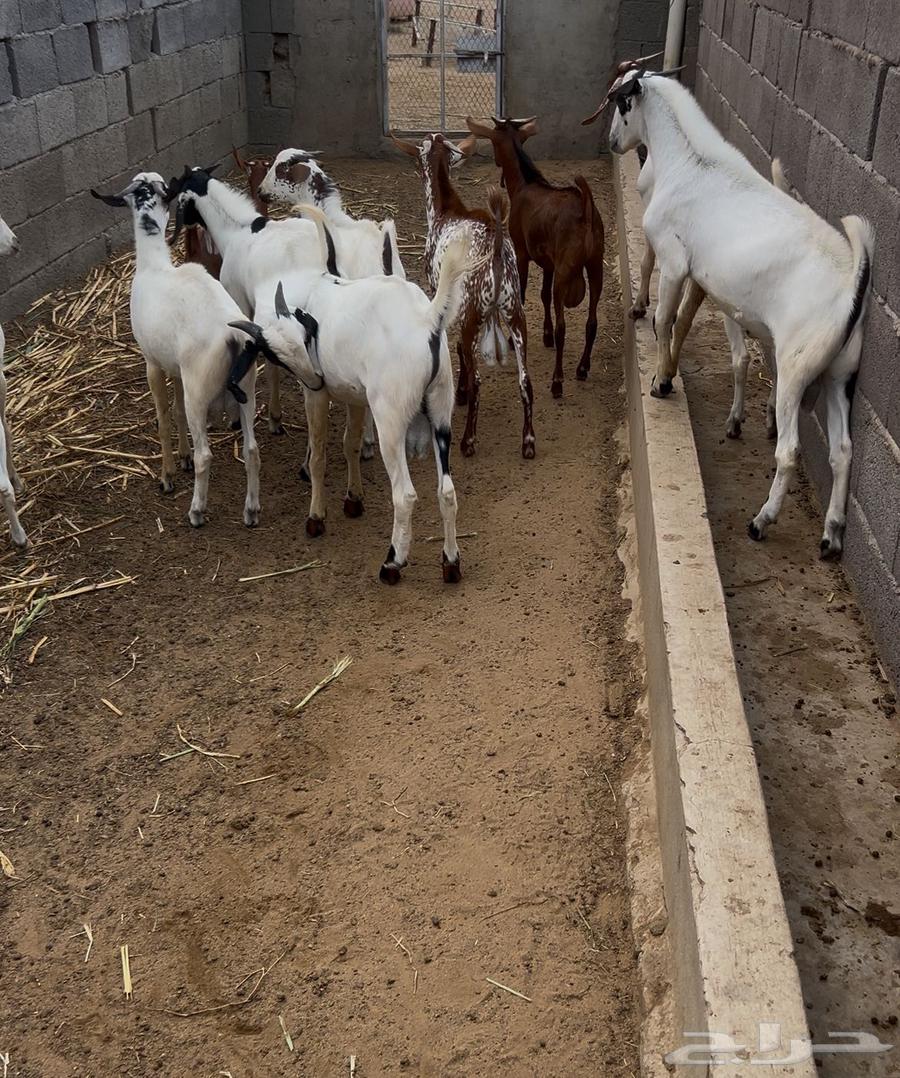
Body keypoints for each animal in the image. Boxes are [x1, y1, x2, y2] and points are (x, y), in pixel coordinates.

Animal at [91, 173, 261, 528]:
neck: (154, 266)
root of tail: (232, 336)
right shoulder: (176, 370)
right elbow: (177, 410)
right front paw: (182, 458)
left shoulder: (152, 363)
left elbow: (163, 415)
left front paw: (168, 475)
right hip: (246, 389)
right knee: (252, 450)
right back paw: (251, 511)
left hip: (200, 391)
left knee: (206, 454)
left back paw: (196, 511)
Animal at [227, 210, 471, 585]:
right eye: (274, 353)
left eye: (305, 338)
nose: (315, 377)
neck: (311, 291)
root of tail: (427, 319)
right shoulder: (356, 397)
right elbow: (350, 443)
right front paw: (353, 499)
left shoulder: (318, 397)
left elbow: (319, 455)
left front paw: (316, 517)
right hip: (441, 411)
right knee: (446, 491)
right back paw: (451, 563)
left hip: (391, 420)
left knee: (405, 495)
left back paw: (392, 563)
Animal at [392, 131, 535, 459]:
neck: (446, 209)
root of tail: (497, 251)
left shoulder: (439, 293)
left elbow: (455, 347)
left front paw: (460, 395)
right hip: (515, 311)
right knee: (525, 379)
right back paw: (529, 442)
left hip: (474, 313)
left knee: (479, 377)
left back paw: (468, 441)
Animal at [465, 115, 605, 398]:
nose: (495, 161)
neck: (524, 184)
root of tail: (586, 209)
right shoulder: (548, 263)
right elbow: (542, 294)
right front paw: (546, 334)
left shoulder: (521, 252)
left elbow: (521, 292)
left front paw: (513, 338)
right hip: (596, 265)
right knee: (592, 321)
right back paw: (582, 368)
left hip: (566, 269)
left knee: (565, 326)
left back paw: (557, 381)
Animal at [596, 68, 873, 556]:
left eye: (622, 104)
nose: (612, 142)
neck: (690, 163)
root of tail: (850, 282)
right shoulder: (703, 280)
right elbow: (685, 324)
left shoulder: (674, 262)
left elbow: (664, 321)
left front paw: (661, 382)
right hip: (841, 374)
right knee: (842, 451)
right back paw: (832, 536)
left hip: (797, 365)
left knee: (789, 451)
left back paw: (762, 520)